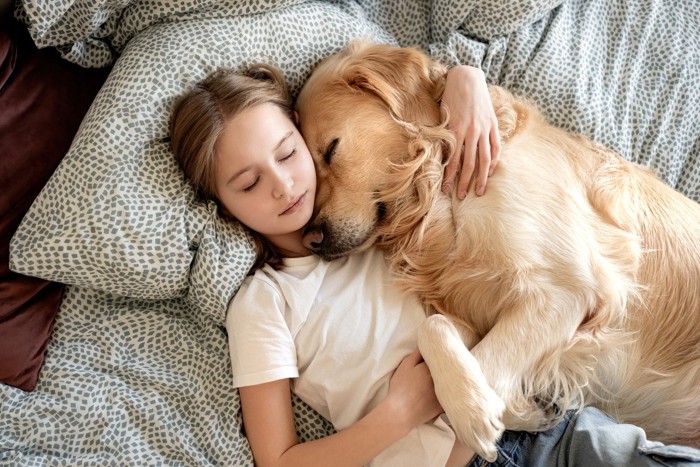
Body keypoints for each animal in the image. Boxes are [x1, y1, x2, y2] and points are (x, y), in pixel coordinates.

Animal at [296, 41, 700, 460]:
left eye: (330, 150)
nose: (310, 238)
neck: (439, 191)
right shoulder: (478, 313)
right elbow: (432, 326)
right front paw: (523, 409)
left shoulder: (567, 292)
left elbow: (485, 370)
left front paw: (474, 411)